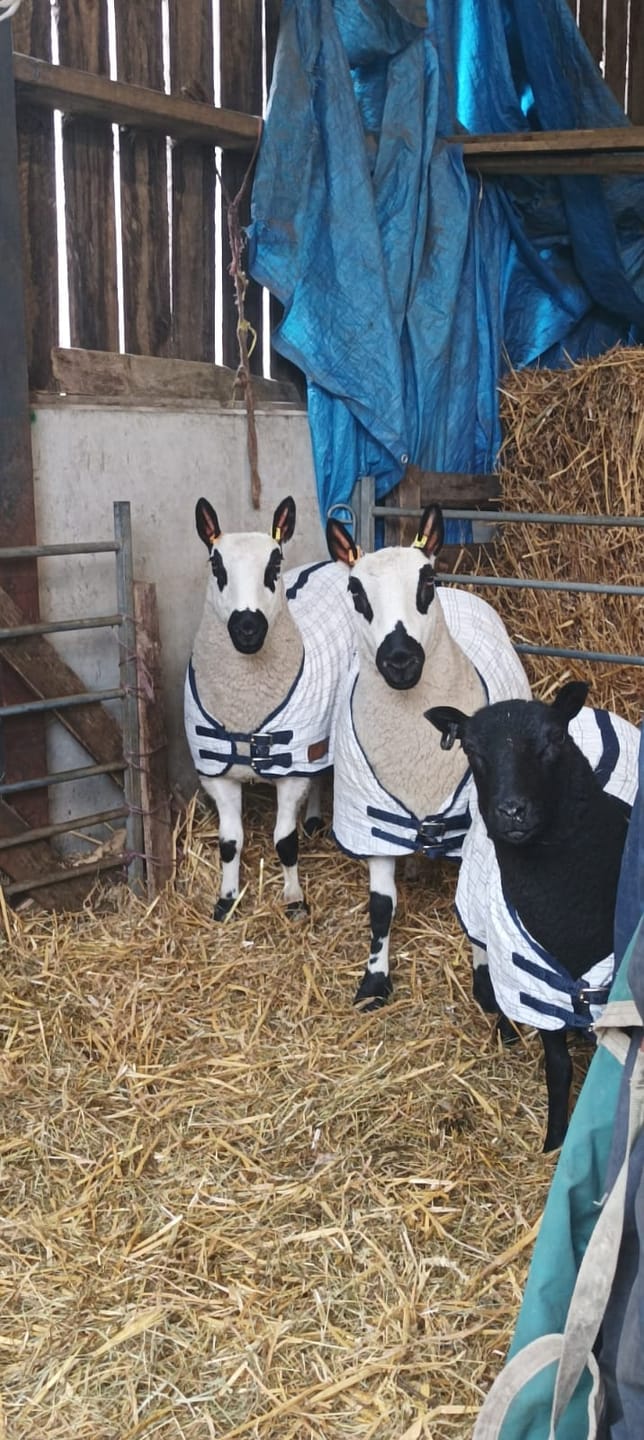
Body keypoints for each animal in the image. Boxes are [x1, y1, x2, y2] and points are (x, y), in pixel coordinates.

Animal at [185, 495, 354, 919]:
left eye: (275, 565)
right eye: (216, 566)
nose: (248, 627)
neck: (245, 707)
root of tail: (336, 561)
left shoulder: (292, 765)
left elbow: (284, 841)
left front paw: (294, 900)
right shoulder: (217, 773)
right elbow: (229, 843)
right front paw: (226, 900)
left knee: (320, 772)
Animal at [326, 504, 532, 1009]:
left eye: (426, 582)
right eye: (355, 591)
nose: (400, 659)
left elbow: (472, 909)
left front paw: (487, 991)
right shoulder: (371, 821)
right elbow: (380, 908)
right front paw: (373, 982)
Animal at [426, 681, 640, 1151]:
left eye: (554, 739)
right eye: (470, 749)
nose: (511, 811)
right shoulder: (537, 991)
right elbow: (558, 1068)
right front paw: (555, 1140)